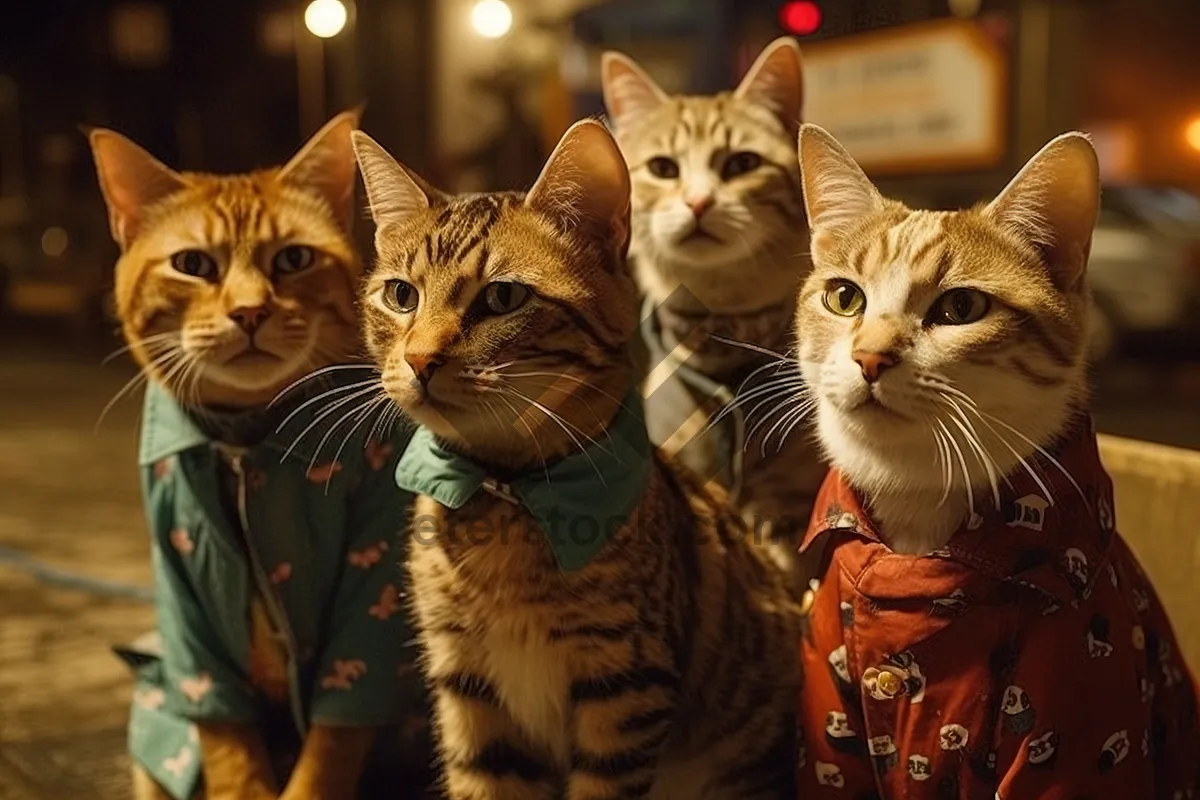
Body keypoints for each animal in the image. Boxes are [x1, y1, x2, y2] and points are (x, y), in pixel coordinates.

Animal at [91, 112, 384, 800]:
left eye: (294, 259)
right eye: (193, 264)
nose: (249, 311)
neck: (245, 443)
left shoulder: (368, 596)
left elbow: (333, 743)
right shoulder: (188, 612)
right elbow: (225, 742)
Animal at [352, 120, 806, 800]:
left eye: (503, 298)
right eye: (401, 295)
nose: (419, 359)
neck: (506, 494)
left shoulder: (625, 690)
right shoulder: (469, 694)